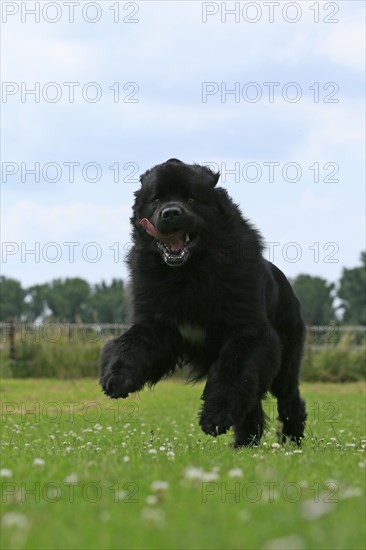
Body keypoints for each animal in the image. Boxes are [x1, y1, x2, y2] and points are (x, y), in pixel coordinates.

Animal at [99, 157, 306, 446]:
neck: (188, 274)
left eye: (191, 198)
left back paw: (291, 440)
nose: (171, 213)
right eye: (157, 199)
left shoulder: (248, 332)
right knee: (252, 402)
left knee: (289, 398)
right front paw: (117, 377)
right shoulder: (157, 324)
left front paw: (214, 417)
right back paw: (245, 443)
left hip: (287, 358)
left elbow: (231, 371)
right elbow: (130, 344)